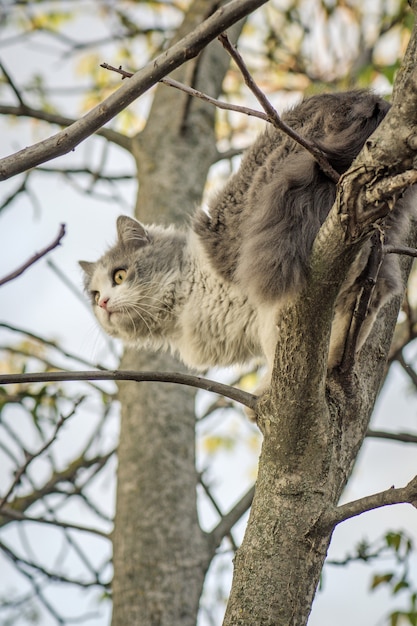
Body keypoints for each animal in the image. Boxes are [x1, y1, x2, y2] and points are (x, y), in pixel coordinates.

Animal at [79, 89, 414, 394]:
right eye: (94, 296)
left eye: (119, 275)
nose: (104, 303)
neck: (187, 292)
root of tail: (367, 100)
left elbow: (276, 346)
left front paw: (268, 392)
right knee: (377, 285)